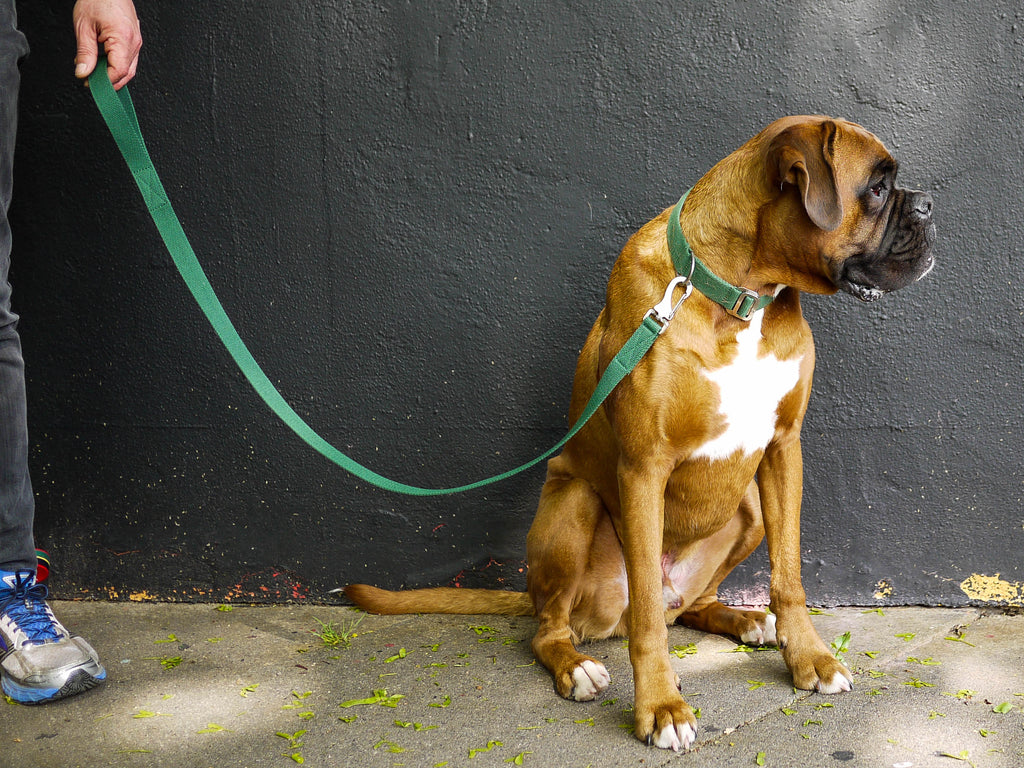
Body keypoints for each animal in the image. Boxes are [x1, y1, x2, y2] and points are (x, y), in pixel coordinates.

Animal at [346, 114, 937, 753]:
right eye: (877, 188)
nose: (929, 204)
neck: (738, 294)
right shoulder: (644, 468)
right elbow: (651, 618)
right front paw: (660, 705)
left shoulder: (784, 449)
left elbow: (790, 576)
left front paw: (808, 657)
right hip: (575, 506)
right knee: (562, 626)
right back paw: (576, 665)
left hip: (750, 508)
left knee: (687, 605)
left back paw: (744, 618)